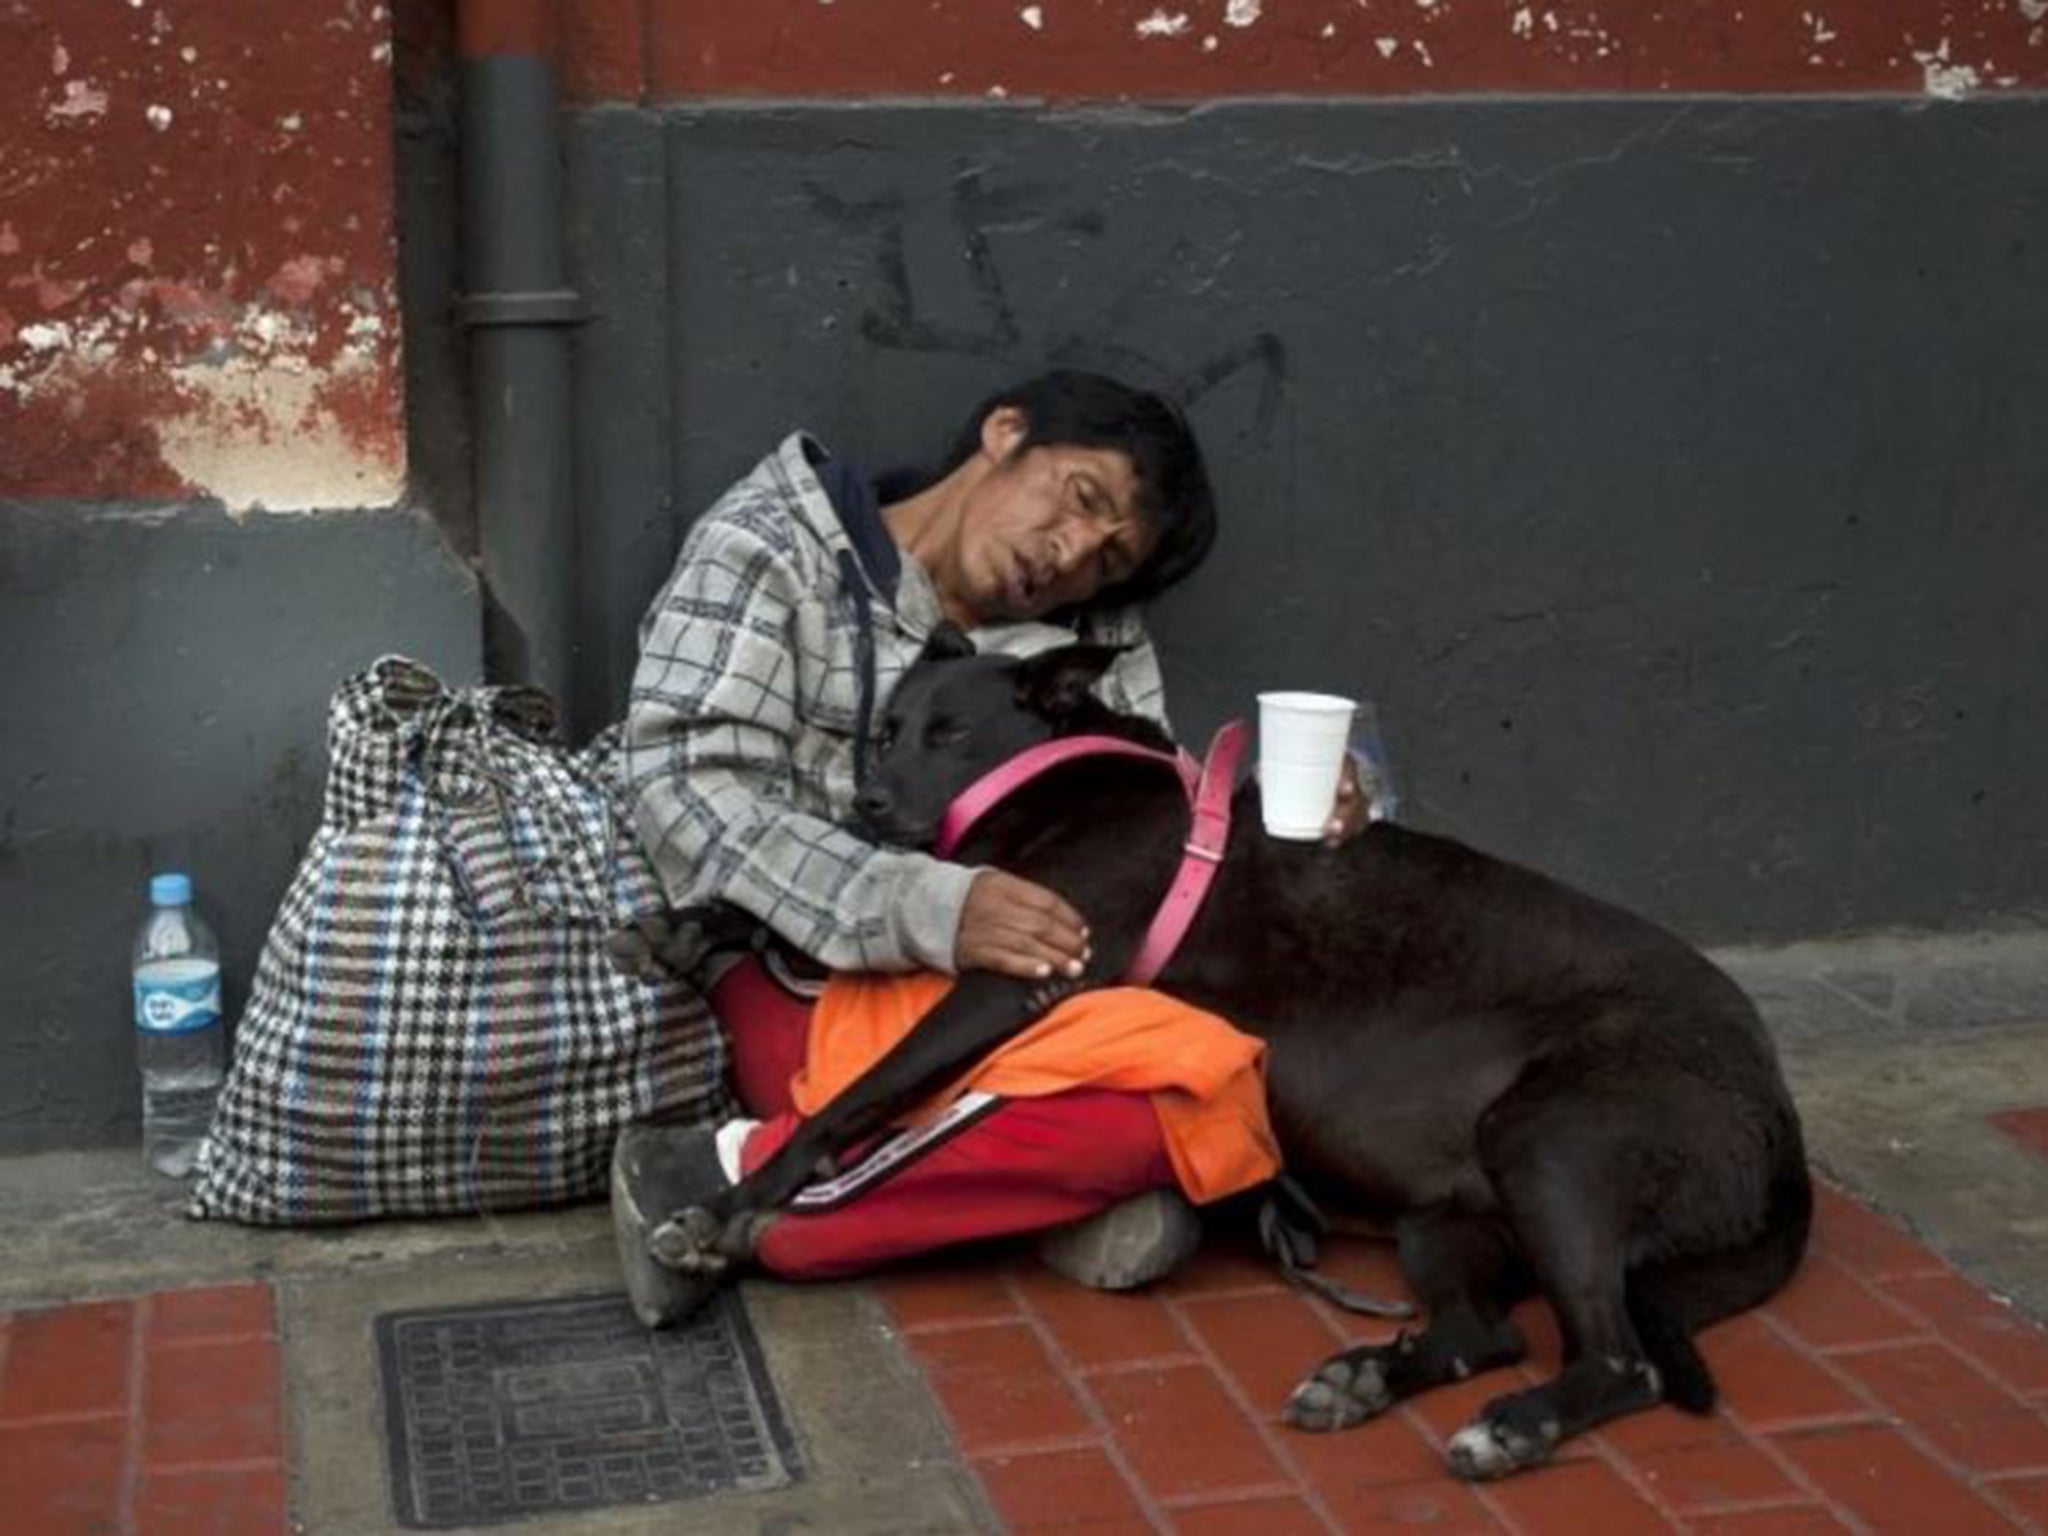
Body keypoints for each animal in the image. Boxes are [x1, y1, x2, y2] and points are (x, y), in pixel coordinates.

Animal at [651, 630, 1810, 1482]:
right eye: (885, 729)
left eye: (952, 732)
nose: (868, 803)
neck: (1051, 775)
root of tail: (1774, 1106)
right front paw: (696, 921)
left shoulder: (1017, 975)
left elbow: (863, 1092)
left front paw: (731, 1209)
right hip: (1451, 1217)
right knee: (1486, 1332)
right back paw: (1367, 1378)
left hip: (1553, 1144)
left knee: (1616, 1360)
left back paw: (1514, 1425)